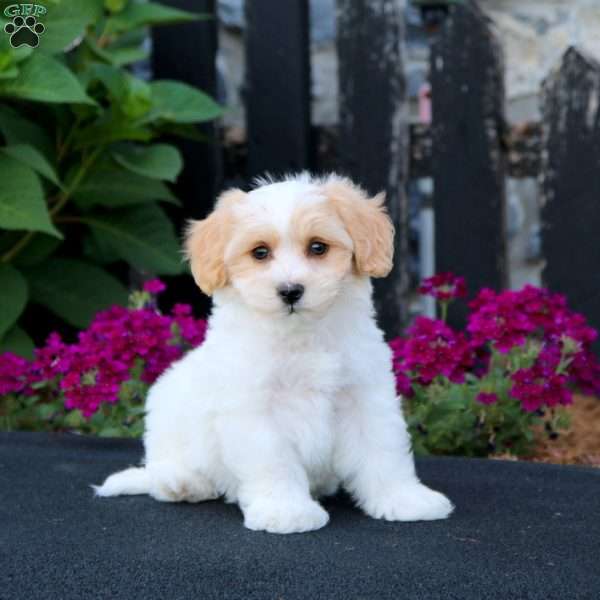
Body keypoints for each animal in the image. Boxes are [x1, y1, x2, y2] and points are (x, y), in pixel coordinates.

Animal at [96, 175, 452, 536]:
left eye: (318, 247)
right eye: (260, 252)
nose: (290, 291)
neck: (301, 335)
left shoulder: (366, 398)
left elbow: (384, 450)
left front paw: (404, 499)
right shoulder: (256, 412)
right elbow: (274, 461)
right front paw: (286, 511)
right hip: (169, 415)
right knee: (162, 468)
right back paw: (183, 482)